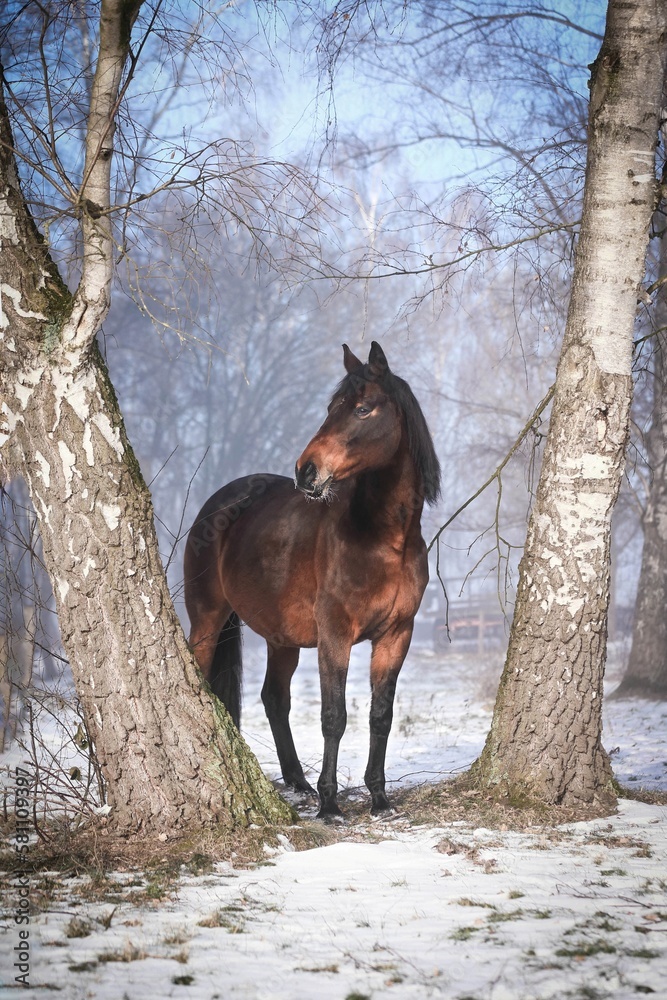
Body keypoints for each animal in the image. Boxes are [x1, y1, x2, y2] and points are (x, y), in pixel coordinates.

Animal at [185, 340, 440, 816]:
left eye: (362, 408)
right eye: (330, 407)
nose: (307, 470)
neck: (385, 541)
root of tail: (219, 504)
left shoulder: (397, 634)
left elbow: (381, 715)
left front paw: (379, 798)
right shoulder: (335, 634)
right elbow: (334, 717)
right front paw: (330, 806)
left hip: (281, 637)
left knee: (274, 698)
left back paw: (298, 782)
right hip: (207, 619)